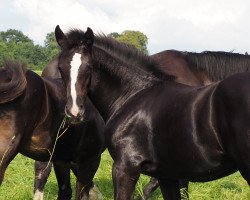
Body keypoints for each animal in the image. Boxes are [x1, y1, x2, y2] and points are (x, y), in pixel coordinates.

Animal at [54, 25, 250, 199]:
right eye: (61, 68)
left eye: (89, 67)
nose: (74, 111)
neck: (131, 94)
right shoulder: (166, 175)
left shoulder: (125, 168)